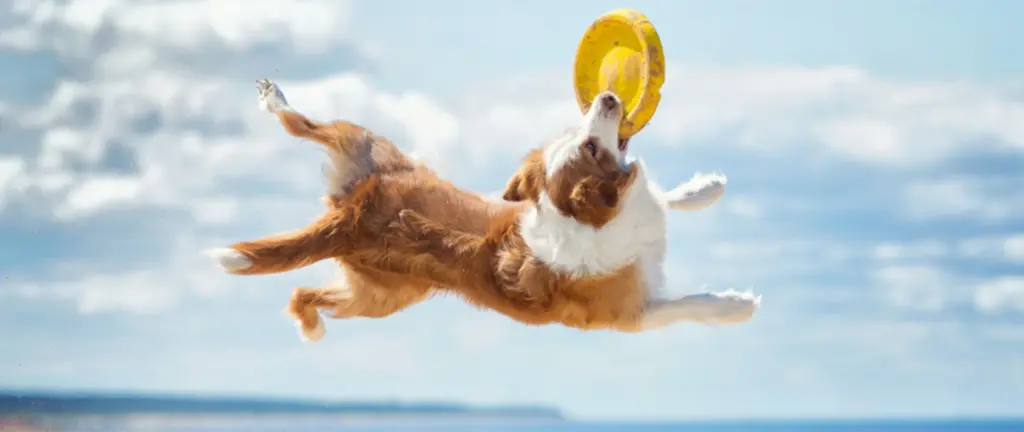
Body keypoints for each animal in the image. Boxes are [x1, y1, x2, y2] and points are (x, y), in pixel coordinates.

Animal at [203, 78, 761, 339]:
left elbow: (663, 199)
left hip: (372, 173)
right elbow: (688, 304)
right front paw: (735, 304)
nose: (604, 96)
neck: (593, 217)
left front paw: (705, 188)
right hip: (383, 293)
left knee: (306, 131)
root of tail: (353, 211)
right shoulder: (627, 315)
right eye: (588, 146)